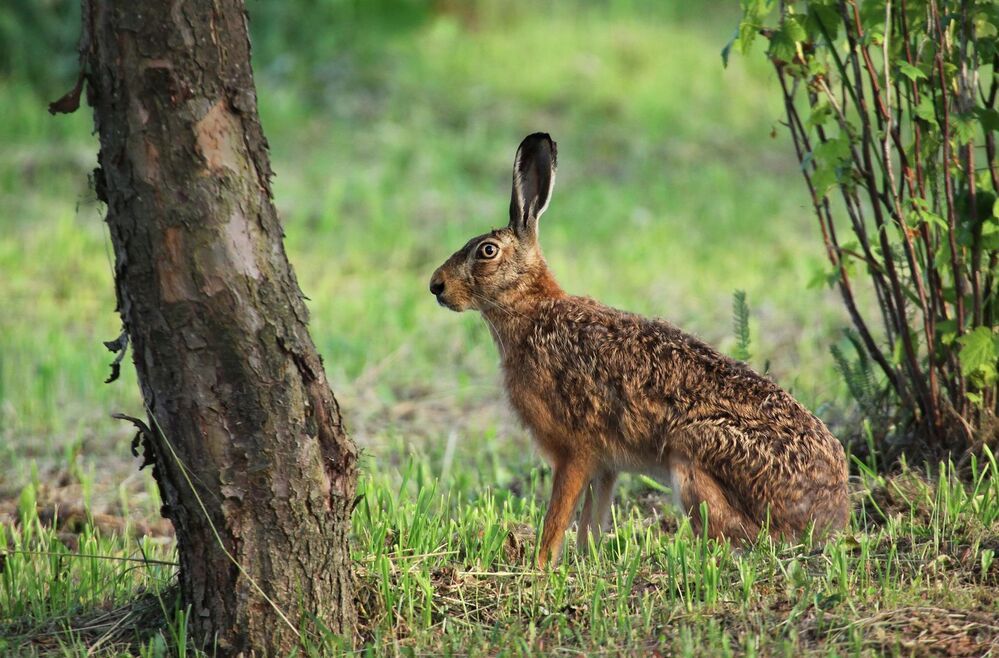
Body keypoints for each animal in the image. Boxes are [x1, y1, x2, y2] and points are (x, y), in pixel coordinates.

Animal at [429, 133, 850, 567]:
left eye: (487, 251)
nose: (435, 286)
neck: (530, 308)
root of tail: (829, 513)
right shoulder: (605, 466)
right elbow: (591, 520)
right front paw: (585, 562)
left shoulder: (575, 452)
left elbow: (558, 518)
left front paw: (540, 566)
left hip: (692, 453)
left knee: (741, 539)